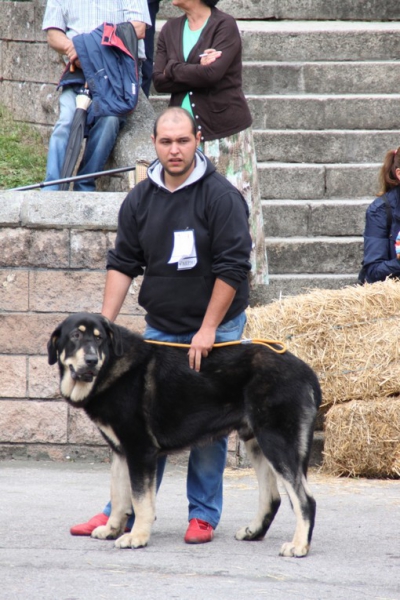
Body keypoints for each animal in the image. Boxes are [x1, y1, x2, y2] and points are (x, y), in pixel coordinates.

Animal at [47, 314, 322, 556]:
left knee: (305, 499)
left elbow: (141, 500)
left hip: (276, 442)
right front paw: (111, 528)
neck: (111, 366)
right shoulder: (121, 451)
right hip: (257, 442)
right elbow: (118, 495)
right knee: (272, 497)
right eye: (75, 336)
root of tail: (307, 371)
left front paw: (137, 537)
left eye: (99, 338)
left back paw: (299, 546)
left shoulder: (141, 450)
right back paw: (254, 532)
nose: (91, 360)